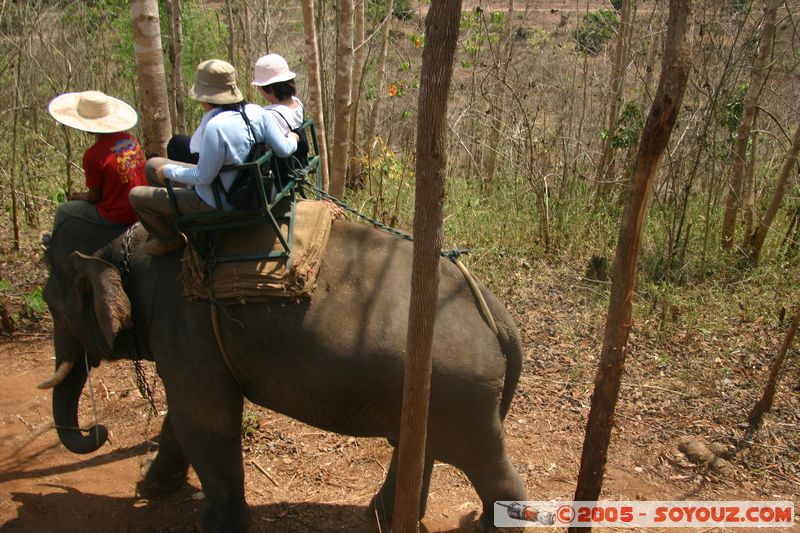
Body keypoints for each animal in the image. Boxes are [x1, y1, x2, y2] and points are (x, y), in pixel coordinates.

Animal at [41, 214, 527, 532]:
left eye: (51, 303)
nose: (99, 431)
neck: (127, 246)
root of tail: (498, 314)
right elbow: (185, 418)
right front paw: (150, 486)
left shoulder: (183, 329)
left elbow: (203, 418)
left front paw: (216, 525)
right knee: (419, 446)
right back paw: (380, 515)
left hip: (461, 393)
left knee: (484, 462)